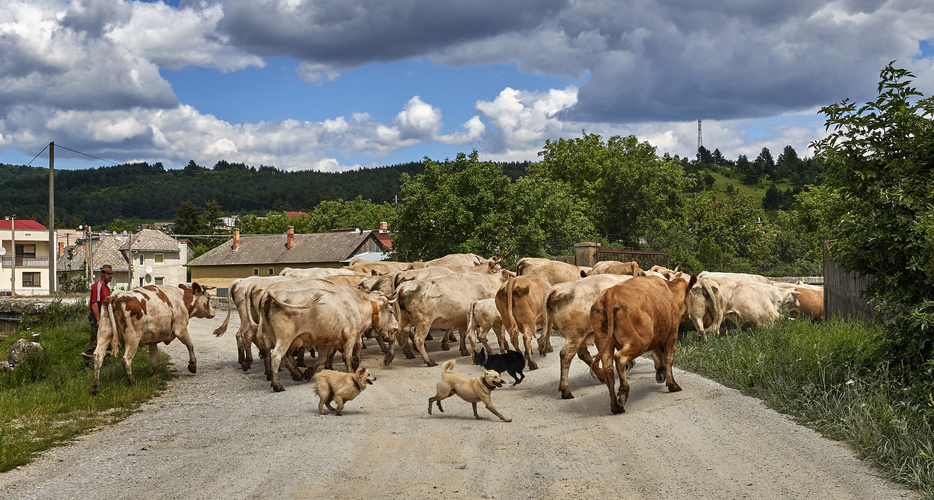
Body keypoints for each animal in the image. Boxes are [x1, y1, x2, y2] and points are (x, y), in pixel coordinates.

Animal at [588, 274, 700, 414]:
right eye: (690, 294)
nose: (688, 316)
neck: (670, 291)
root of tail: (611, 292)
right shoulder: (671, 334)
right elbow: (668, 358)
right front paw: (672, 384)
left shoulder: (658, 336)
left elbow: (657, 352)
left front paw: (660, 372)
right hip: (640, 342)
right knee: (620, 358)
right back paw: (623, 392)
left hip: (605, 343)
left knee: (608, 370)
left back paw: (616, 407)